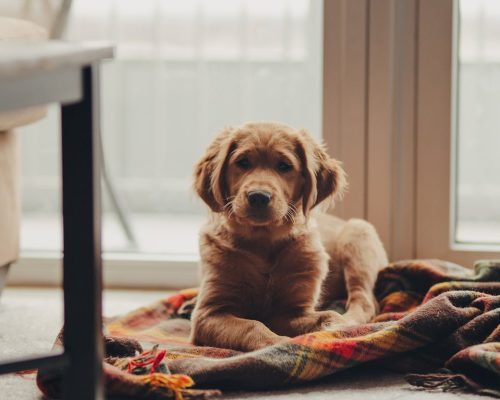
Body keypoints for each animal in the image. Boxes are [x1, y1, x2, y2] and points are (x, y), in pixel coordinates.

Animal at [189, 121, 388, 350]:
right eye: (243, 162)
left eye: (284, 166)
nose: (258, 197)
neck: (263, 242)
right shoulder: (208, 313)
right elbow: (251, 325)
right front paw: (277, 343)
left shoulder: (292, 310)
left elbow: (327, 315)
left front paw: (336, 326)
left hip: (358, 236)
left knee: (364, 300)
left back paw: (350, 320)